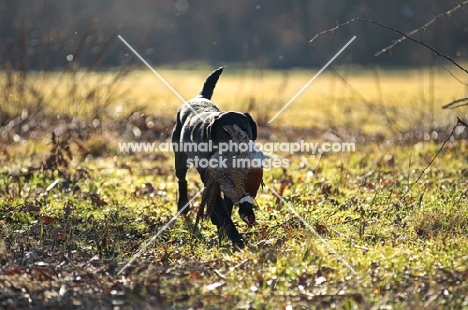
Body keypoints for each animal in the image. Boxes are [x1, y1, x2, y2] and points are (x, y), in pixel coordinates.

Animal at [174, 68, 258, 247]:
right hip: (180, 158)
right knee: (182, 180)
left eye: (244, 129)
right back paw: (183, 205)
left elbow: (225, 205)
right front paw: (237, 239)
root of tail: (199, 97)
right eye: (225, 133)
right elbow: (223, 213)